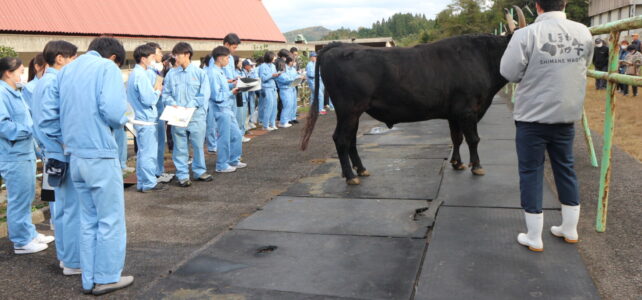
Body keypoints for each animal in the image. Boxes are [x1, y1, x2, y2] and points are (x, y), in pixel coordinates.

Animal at [298, 35, 510, 185]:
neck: (482, 56)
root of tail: (339, 45)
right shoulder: (468, 110)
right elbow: (473, 139)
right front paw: (477, 166)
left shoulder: (454, 113)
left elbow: (456, 138)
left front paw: (457, 163)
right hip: (349, 109)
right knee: (341, 138)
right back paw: (351, 176)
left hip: (353, 113)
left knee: (351, 139)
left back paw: (360, 169)